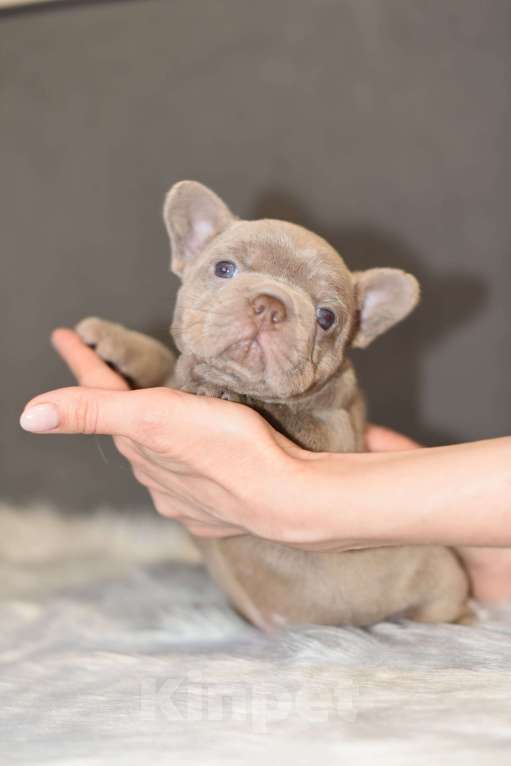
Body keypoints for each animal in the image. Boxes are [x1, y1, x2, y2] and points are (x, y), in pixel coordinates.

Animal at [76, 182, 472, 632]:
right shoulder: (173, 373)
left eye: (327, 317)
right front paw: (114, 339)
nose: (269, 306)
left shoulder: (337, 437)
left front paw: (231, 392)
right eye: (224, 269)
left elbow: (289, 415)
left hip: (442, 576)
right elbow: (161, 360)